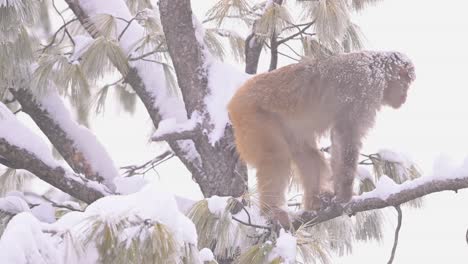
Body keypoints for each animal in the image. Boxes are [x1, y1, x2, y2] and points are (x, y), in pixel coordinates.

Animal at [229, 50, 414, 216]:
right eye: (406, 83)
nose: (405, 97)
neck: (378, 70)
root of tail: (235, 98)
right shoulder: (365, 89)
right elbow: (346, 135)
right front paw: (345, 196)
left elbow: (338, 139)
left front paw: (339, 195)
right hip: (252, 117)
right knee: (275, 156)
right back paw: (272, 212)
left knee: (308, 154)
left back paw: (315, 201)